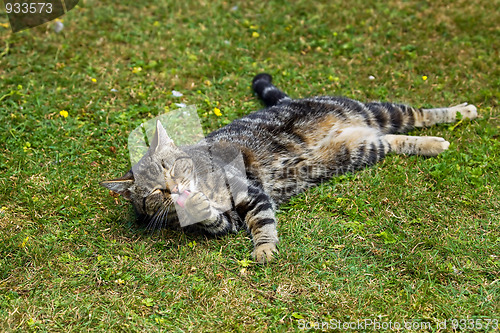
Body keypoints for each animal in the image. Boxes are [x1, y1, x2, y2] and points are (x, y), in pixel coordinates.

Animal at [100, 72, 476, 262]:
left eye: (170, 167)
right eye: (153, 192)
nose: (174, 189)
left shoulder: (250, 191)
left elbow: (263, 222)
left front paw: (264, 248)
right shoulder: (228, 220)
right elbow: (216, 220)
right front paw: (195, 205)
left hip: (378, 112)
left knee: (418, 113)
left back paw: (461, 112)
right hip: (362, 147)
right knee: (395, 140)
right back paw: (432, 143)